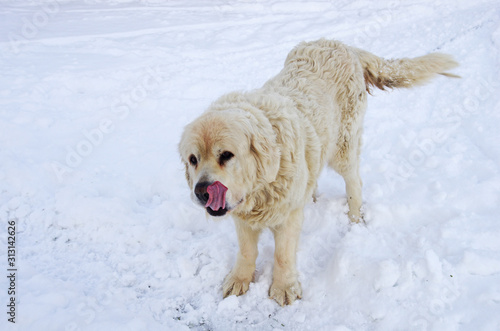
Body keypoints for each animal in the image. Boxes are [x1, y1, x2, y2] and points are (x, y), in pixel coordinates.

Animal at [178, 39, 458, 306]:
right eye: (193, 159)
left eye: (226, 155)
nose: (202, 191)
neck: (263, 184)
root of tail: (344, 45)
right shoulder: (242, 216)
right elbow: (247, 251)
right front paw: (239, 279)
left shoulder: (288, 215)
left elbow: (282, 255)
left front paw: (284, 287)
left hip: (343, 148)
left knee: (355, 182)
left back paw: (355, 219)